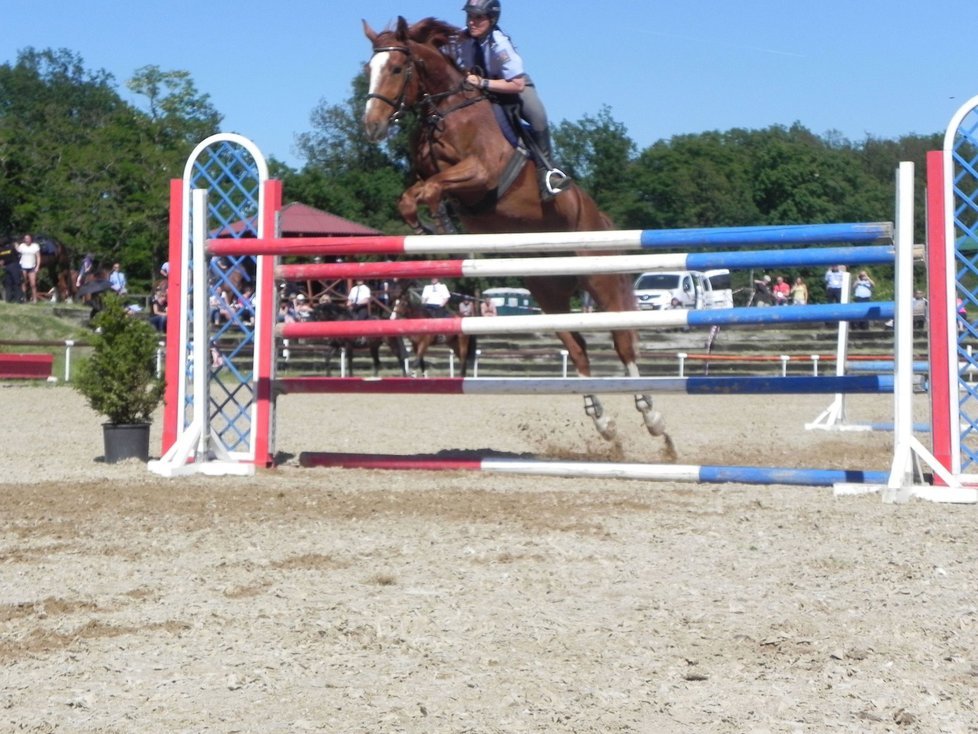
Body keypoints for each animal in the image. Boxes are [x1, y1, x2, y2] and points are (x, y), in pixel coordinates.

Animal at [362, 17, 668, 448]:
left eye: (396, 68)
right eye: (367, 70)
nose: (371, 126)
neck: (445, 111)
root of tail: (601, 218)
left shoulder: (481, 173)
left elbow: (432, 189)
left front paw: (439, 227)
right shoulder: (430, 177)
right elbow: (413, 196)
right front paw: (432, 229)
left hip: (600, 279)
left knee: (622, 341)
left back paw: (652, 417)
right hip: (548, 293)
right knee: (577, 348)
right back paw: (603, 423)